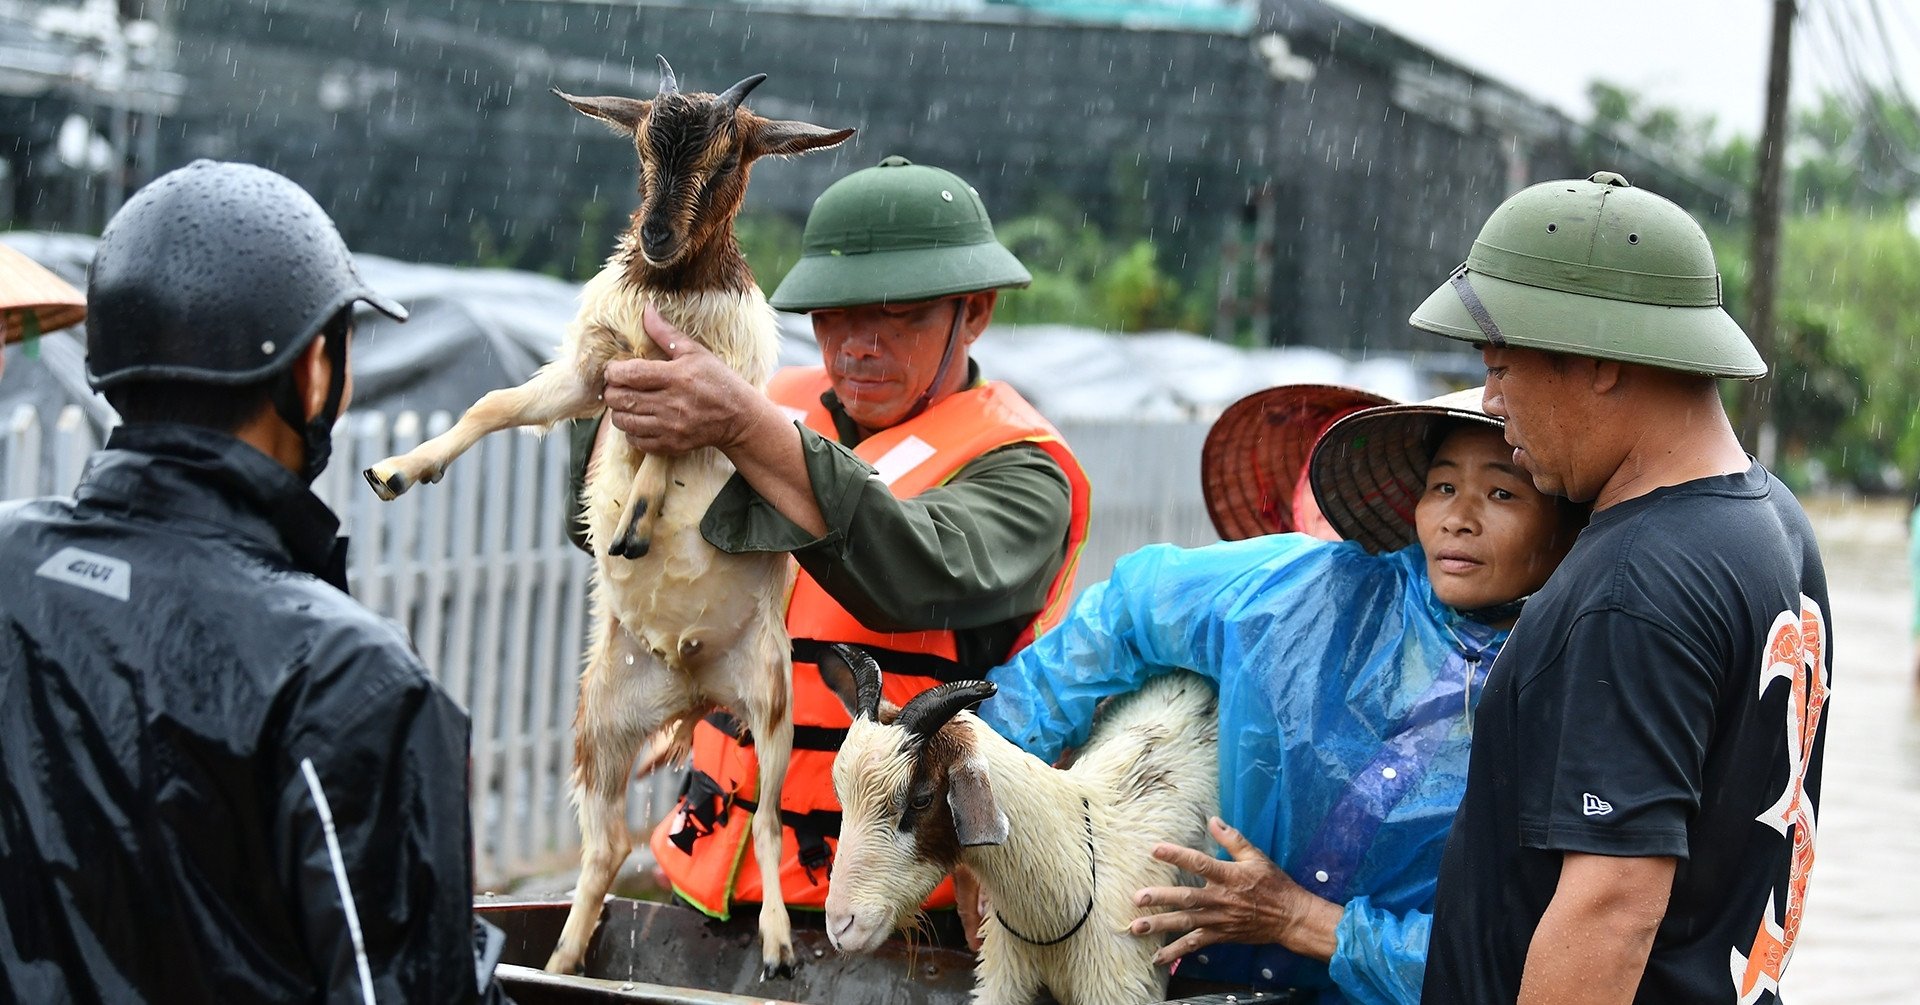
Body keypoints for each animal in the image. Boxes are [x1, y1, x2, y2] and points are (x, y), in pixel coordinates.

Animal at [359, 59, 848, 980]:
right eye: (643, 149)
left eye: (726, 159)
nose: (654, 236)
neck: (670, 289)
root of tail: (695, 685)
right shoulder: (590, 377)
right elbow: (494, 404)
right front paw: (398, 470)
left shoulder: (697, 394)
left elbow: (659, 450)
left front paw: (635, 525)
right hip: (601, 727)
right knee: (607, 843)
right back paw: (559, 959)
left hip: (771, 703)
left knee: (767, 824)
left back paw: (774, 945)